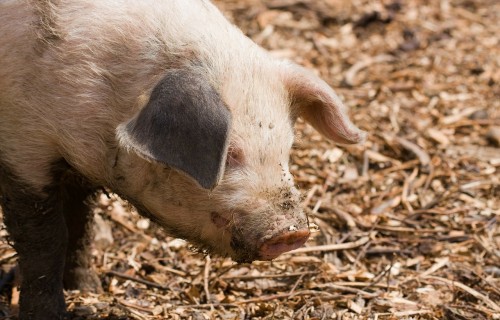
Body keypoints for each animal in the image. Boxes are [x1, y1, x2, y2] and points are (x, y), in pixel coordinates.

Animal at [0, 0, 366, 318]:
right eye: (229, 154)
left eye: (286, 150)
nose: (292, 233)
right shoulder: (23, 150)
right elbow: (47, 241)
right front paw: (51, 312)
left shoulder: (75, 165)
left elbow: (81, 228)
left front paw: (87, 288)